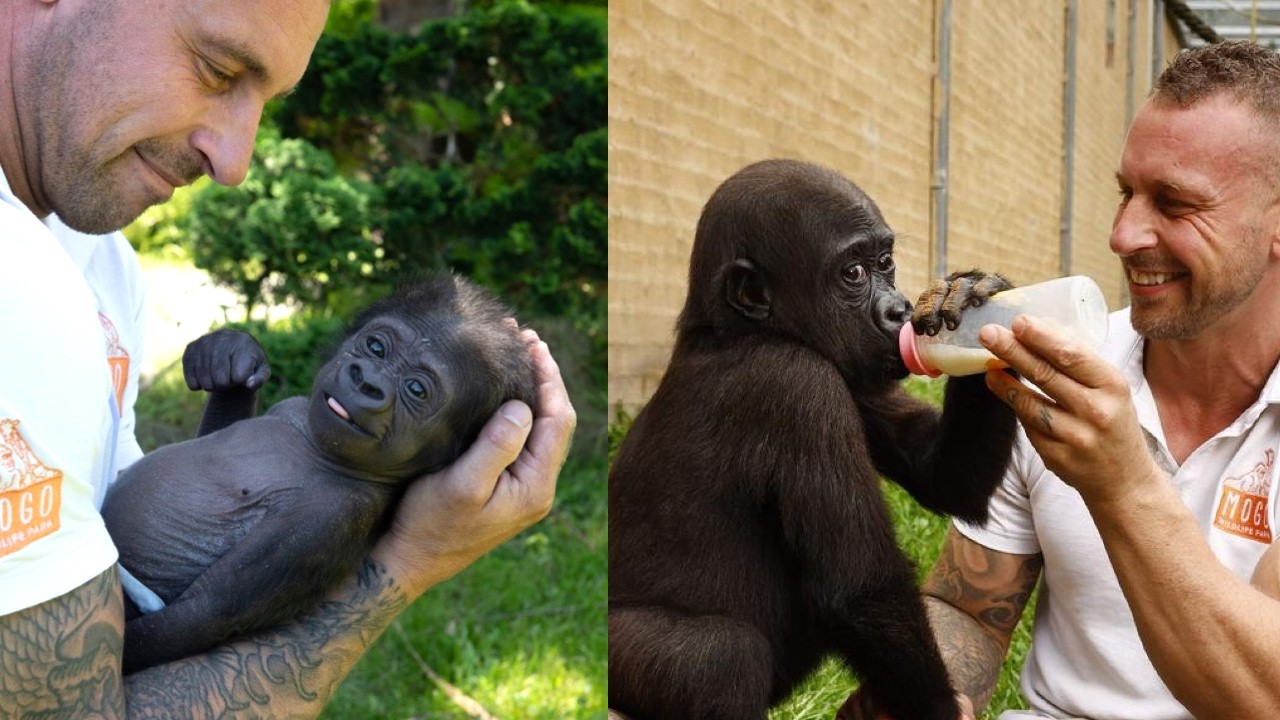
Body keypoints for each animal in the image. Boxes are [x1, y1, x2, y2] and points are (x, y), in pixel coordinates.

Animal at [101, 274, 538, 674]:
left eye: (416, 390)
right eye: (376, 347)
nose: (367, 381)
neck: (319, 449)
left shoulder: (332, 517)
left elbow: (202, 613)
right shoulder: (295, 409)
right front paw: (229, 361)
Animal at [607, 159, 1018, 720]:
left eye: (885, 262)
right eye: (853, 274)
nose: (899, 310)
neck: (733, 331)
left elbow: (945, 476)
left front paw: (974, 296)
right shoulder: (798, 384)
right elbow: (863, 588)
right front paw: (938, 710)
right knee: (720, 657)